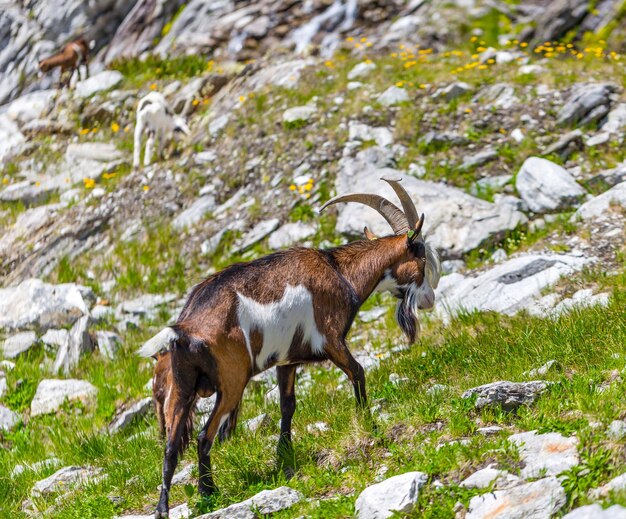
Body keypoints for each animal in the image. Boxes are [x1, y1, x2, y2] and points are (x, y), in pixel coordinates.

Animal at [139, 178, 438, 516]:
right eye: (421, 256)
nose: (429, 300)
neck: (341, 273)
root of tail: (185, 328)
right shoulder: (331, 339)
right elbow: (358, 373)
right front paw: (368, 424)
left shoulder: (286, 360)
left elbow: (287, 405)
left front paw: (284, 456)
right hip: (231, 382)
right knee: (204, 436)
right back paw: (208, 494)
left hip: (179, 389)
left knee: (171, 446)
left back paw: (163, 508)